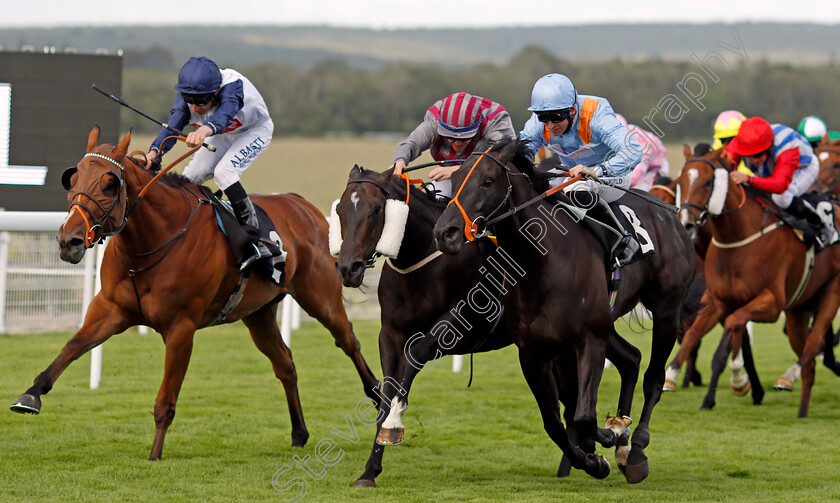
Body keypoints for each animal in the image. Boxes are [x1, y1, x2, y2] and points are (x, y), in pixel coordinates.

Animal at [8, 127, 378, 460]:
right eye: (72, 180)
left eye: (109, 184)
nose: (68, 241)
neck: (152, 241)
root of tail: (303, 205)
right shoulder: (110, 310)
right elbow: (71, 348)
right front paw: (30, 395)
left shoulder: (181, 328)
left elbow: (166, 400)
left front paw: (155, 454)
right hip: (258, 314)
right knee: (285, 364)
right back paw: (299, 432)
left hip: (320, 297)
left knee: (349, 341)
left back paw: (378, 397)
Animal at [430, 139, 692, 484]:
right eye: (456, 178)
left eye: (487, 180)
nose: (444, 233)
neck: (545, 263)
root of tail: (672, 217)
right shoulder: (533, 354)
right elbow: (554, 422)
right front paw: (594, 460)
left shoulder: (588, 341)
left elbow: (582, 415)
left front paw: (607, 437)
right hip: (608, 322)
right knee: (631, 358)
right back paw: (622, 430)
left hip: (665, 308)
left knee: (653, 377)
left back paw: (635, 449)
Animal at [664, 147, 840, 418]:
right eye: (681, 181)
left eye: (707, 182)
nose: (686, 224)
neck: (739, 239)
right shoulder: (718, 300)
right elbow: (695, 333)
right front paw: (671, 374)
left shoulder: (771, 303)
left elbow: (733, 329)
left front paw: (738, 381)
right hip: (798, 311)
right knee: (809, 363)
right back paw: (801, 410)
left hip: (831, 293)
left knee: (813, 346)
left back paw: (788, 377)